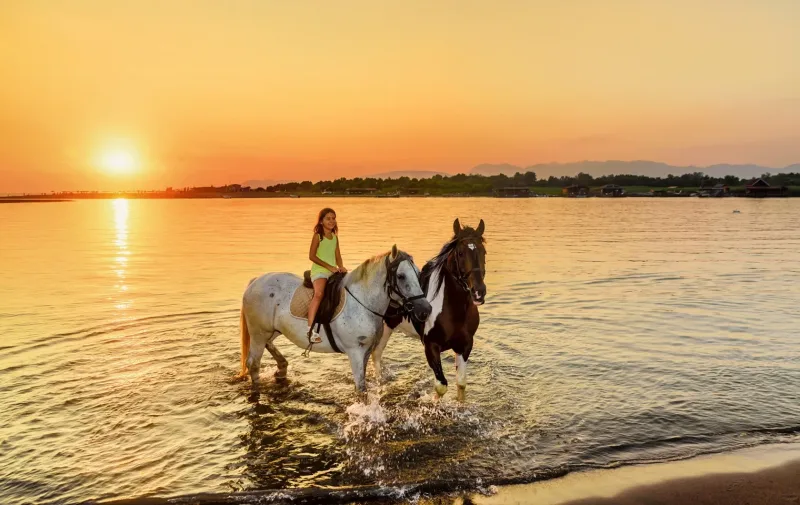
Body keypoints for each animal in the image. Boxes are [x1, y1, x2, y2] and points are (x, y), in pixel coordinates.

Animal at [237, 245, 432, 392]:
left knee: (268, 345)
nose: (426, 309)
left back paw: (281, 368)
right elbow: (361, 389)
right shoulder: (355, 352)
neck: (363, 302)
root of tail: (255, 281)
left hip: (272, 330)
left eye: (418, 273)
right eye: (401, 276)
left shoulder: (366, 351)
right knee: (253, 363)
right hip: (258, 333)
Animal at [375, 219, 486, 400]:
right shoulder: (431, 347)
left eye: (484, 251)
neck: (453, 311)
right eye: (460, 253)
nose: (478, 292)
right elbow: (441, 386)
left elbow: (461, 384)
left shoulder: (465, 346)